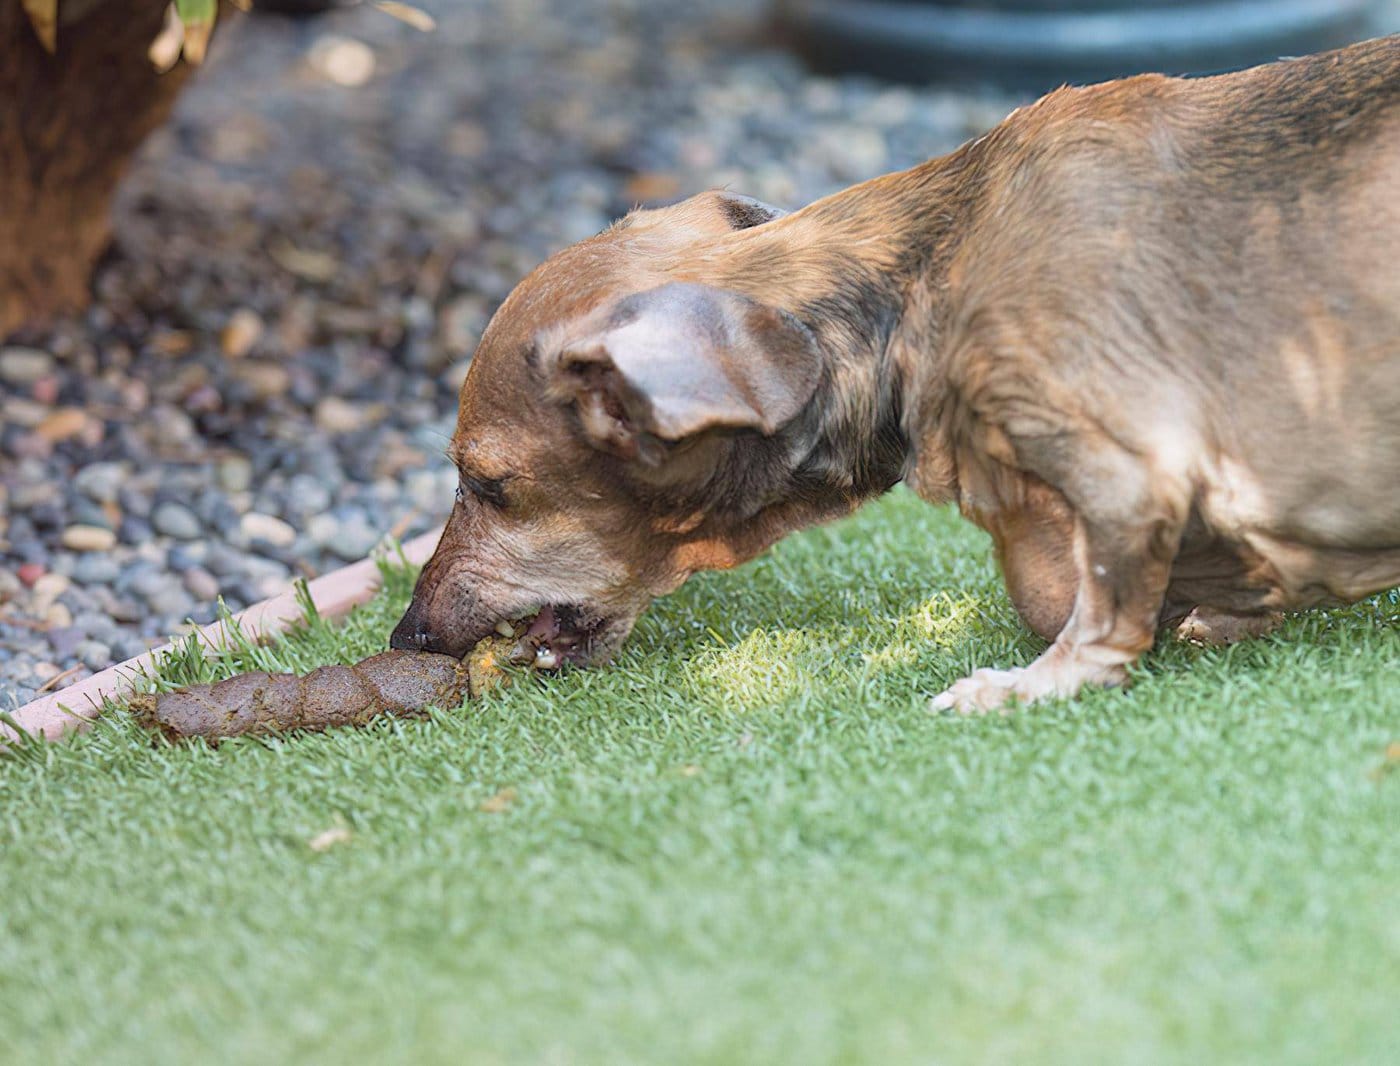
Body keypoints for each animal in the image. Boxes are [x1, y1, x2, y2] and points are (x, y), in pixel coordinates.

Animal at [392, 37, 1400, 711]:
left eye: (487, 484)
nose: (408, 634)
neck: (928, 275)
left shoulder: (1125, 470)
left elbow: (1092, 615)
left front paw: (1023, 685)